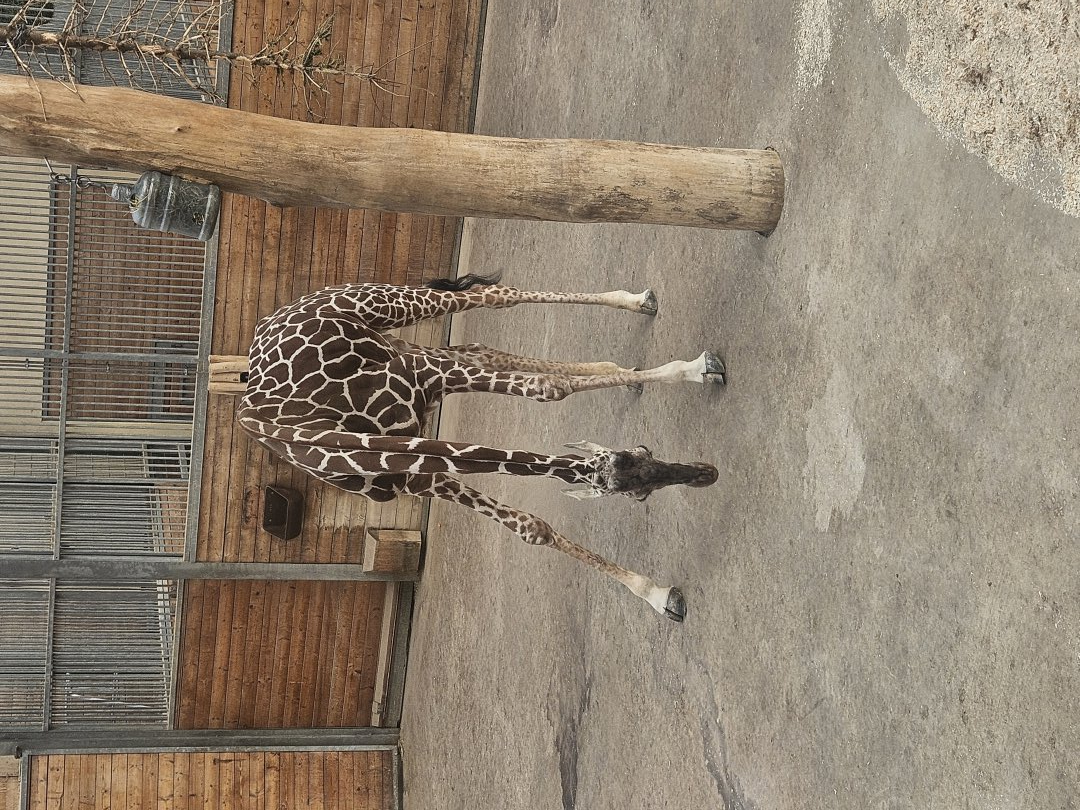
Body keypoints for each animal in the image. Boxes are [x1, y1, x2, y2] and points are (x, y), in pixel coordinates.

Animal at [235, 274, 726, 622]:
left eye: (644, 455)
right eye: (637, 478)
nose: (706, 474)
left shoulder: (425, 377)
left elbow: (549, 390)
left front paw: (693, 368)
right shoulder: (420, 474)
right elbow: (532, 525)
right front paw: (658, 594)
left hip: (392, 309)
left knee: (492, 297)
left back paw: (639, 304)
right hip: (396, 342)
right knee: (478, 346)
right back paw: (621, 367)